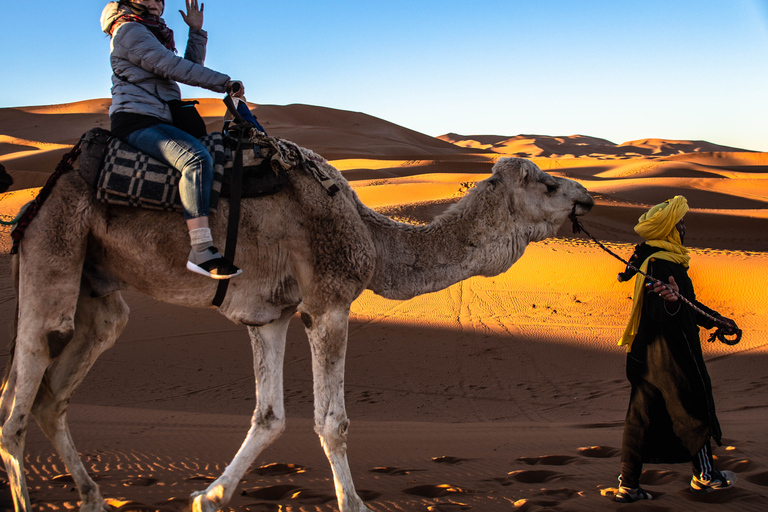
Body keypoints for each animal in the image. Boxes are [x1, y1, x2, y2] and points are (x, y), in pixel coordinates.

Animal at [0, 142, 592, 510]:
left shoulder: (270, 315)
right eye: (544, 183)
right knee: (17, 403)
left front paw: (209, 497)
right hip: (53, 253)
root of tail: (38, 199)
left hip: (97, 291)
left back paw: (93, 497)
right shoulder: (326, 304)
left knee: (55, 390)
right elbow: (333, 422)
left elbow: (269, 416)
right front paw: (353, 504)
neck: (371, 237)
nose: (585, 194)